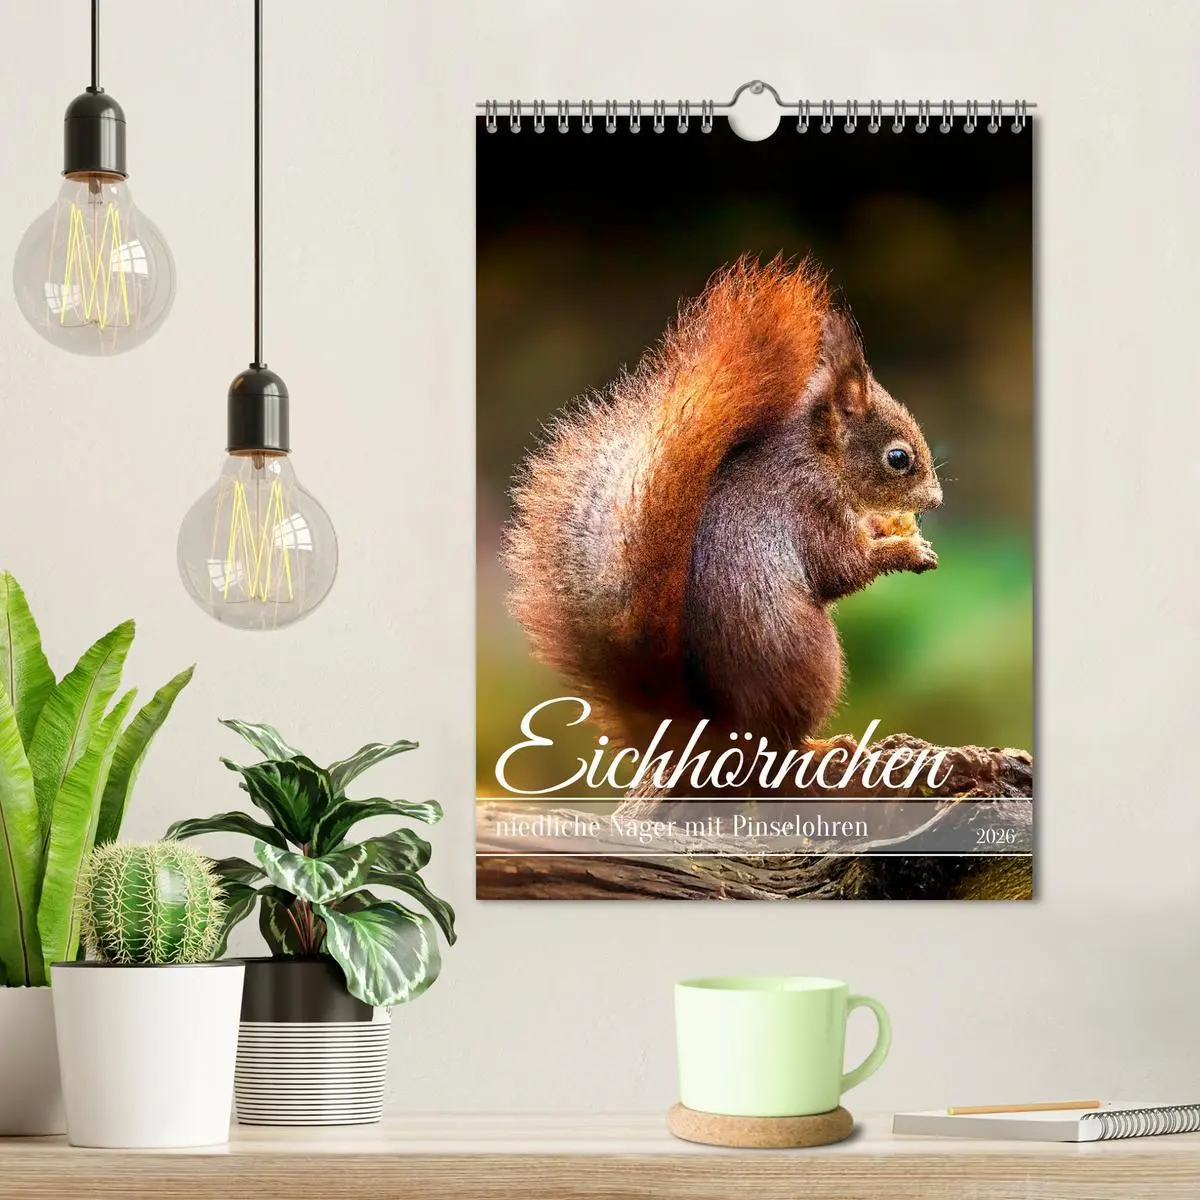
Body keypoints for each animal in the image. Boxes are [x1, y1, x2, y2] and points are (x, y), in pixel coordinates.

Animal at [503, 256, 943, 766]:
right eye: (899, 458)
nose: (935, 500)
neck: (821, 456)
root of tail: (710, 729)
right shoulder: (809, 505)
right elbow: (841, 568)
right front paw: (906, 551)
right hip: (813, 661)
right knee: (775, 741)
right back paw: (820, 746)